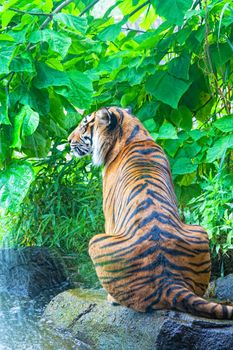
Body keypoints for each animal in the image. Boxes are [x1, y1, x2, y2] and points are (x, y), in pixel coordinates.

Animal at [68, 106, 233, 320]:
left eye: (84, 125)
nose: (68, 140)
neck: (133, 134)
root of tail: (170, 282)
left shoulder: (109, 216)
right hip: (200, 231)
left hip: (96, 241)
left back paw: (112, 298)